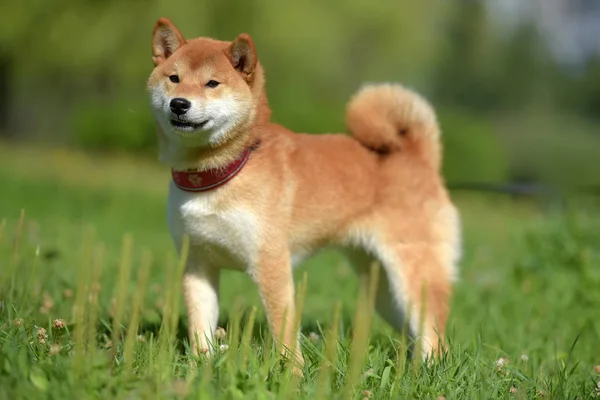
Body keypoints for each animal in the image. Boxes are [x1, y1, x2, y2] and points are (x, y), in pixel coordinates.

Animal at [148, 18, 462, 368]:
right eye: (174, 78)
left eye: (212, 83)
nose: (179, 103)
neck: (223, 172)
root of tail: (418, 157)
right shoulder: (197, 263)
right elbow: (201, 327)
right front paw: (201, 367)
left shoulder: (270, 263)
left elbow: (283, 330)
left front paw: (291, 372)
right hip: (385, 290)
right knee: (415, 332)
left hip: (412, 277)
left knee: (434, 334)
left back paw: (427, 371)